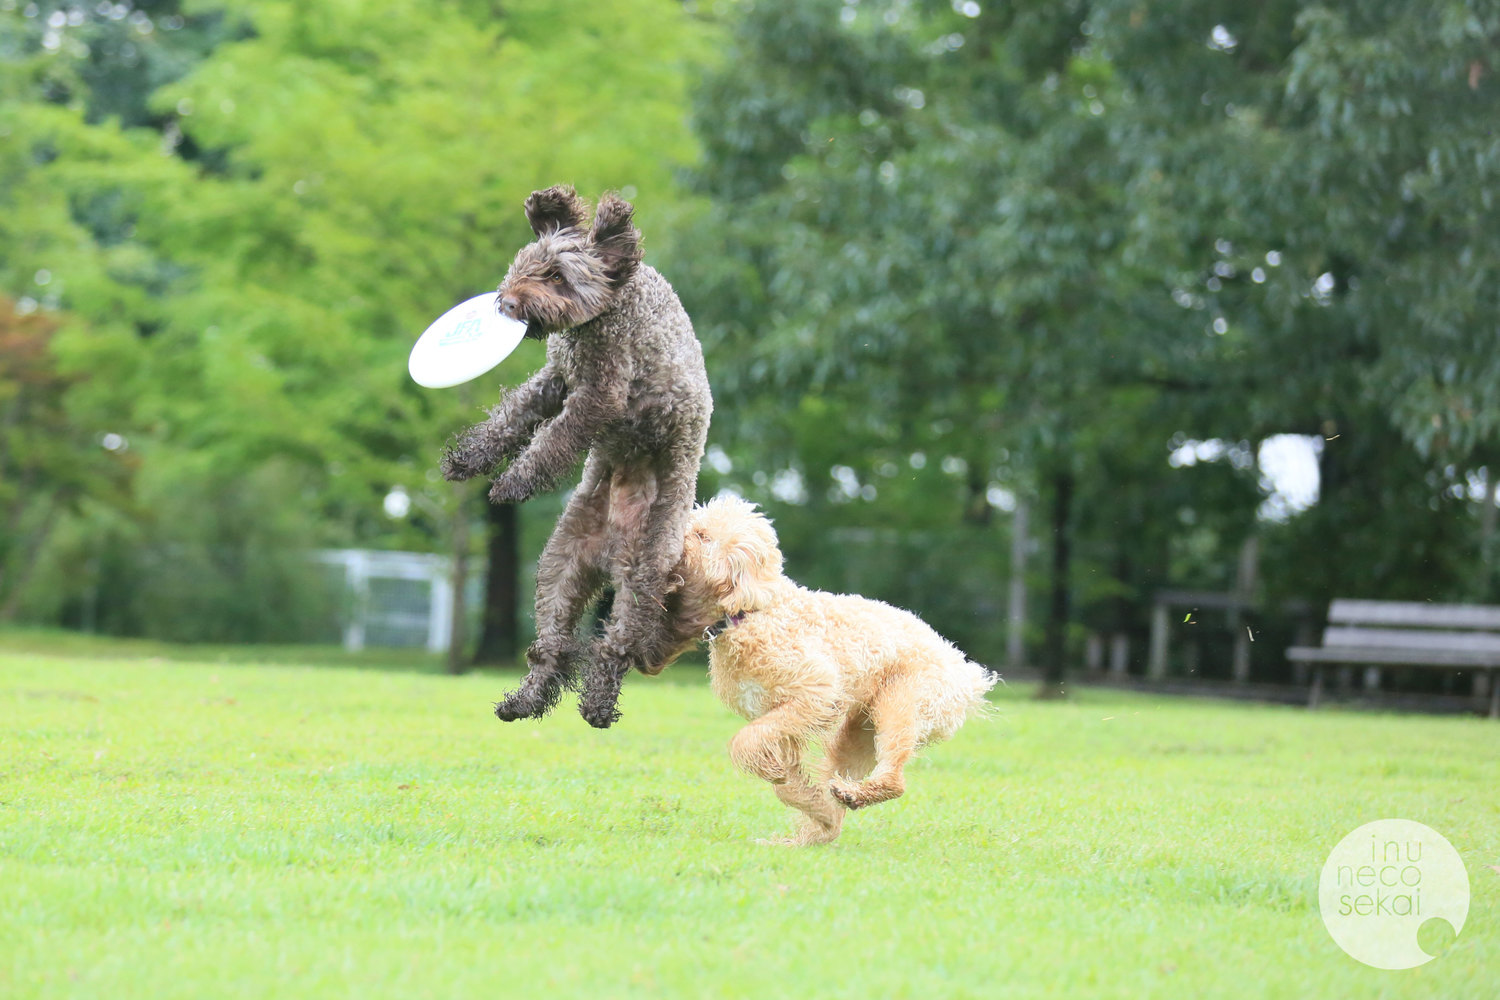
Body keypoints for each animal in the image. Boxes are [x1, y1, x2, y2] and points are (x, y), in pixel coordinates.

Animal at [660, 497, 996, 839]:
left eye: (702, 535)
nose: (671, 541)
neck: (753, 612)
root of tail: (966, 675)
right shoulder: (781, 718)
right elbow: (786, 778)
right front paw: (805, 797)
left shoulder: (814, 693)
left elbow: (747, 741)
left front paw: (771, 771)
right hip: (858, 732)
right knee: (838, 816)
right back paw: (808, 830)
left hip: (900, 704)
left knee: (895, 780)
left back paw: (851, 796)